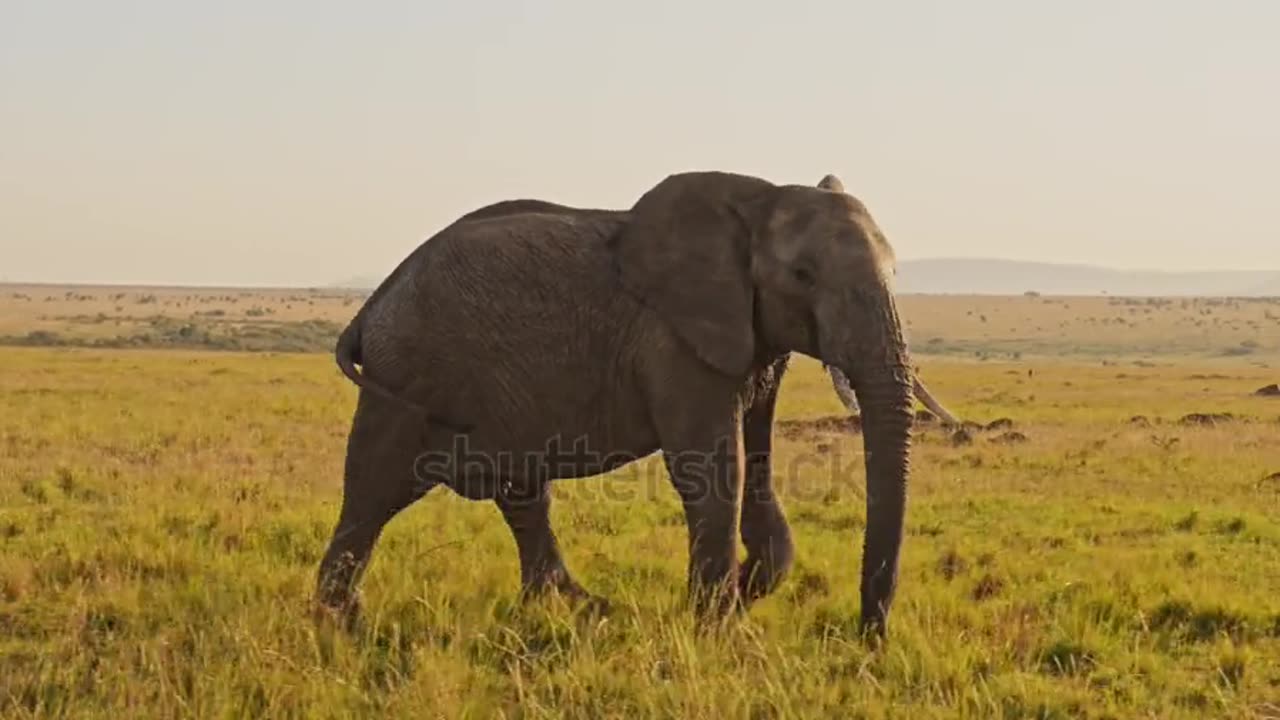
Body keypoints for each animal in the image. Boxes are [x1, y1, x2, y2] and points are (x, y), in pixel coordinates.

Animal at [320, 170, 936, 635]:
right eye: (803, 276)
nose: (866, 637)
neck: (759, 196)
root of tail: (372, 304)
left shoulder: (757, 341)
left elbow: (756, 459)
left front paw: (745, 594)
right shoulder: (674, 339)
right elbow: (714, 469)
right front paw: (717, 630)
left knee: (520, 493)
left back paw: (575, 609)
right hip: (408, 374)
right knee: (373, 490)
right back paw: (342, 625)